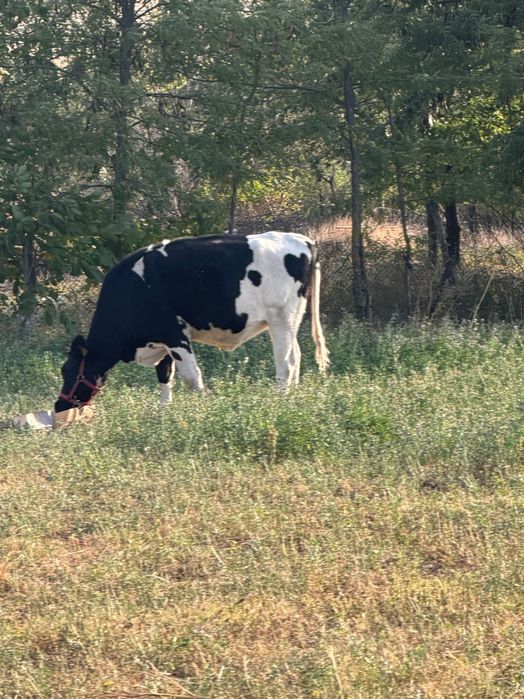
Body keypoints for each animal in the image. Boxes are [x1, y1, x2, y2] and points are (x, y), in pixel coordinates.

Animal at [54, 231, 329, 413]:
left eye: (68, 371)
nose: (59, 405)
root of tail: (303, 240)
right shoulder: (162, 341)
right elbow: (165, 376)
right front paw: (162, 412)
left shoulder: (174, 334)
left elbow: (191, 376)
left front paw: (202, 408)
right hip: (290, 320)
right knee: (297, 355)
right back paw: (292, 397)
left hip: (281, 317)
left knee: (286, 362)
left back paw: (280, 400)